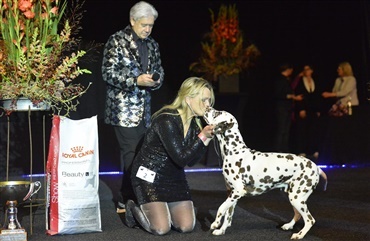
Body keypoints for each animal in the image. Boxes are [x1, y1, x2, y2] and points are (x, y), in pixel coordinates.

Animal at [204, 107, 328, 239]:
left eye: (217, 113)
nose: (207, 107)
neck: (235, 151)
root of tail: (316, 166)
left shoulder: (237, 192)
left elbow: (221, 208)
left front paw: (215, 223)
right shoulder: (232, 194)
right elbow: (228, 215)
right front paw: (221, 230)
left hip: (297, 199)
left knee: (310, 220)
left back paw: (299, 235)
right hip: (294, 198)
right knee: (298, 215)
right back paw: (289, 226)